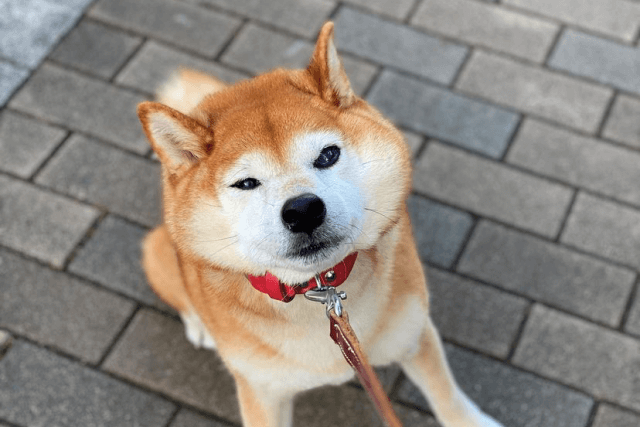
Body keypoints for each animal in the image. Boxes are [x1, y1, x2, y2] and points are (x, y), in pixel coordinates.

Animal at [138, 22, 502, 427]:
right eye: (246, 183)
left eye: (328, 155)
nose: (303, 210)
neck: (316, 291)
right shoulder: (261, 391)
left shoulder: (414, 332)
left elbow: (445, 393)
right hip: (159, 253)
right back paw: (200, 325)